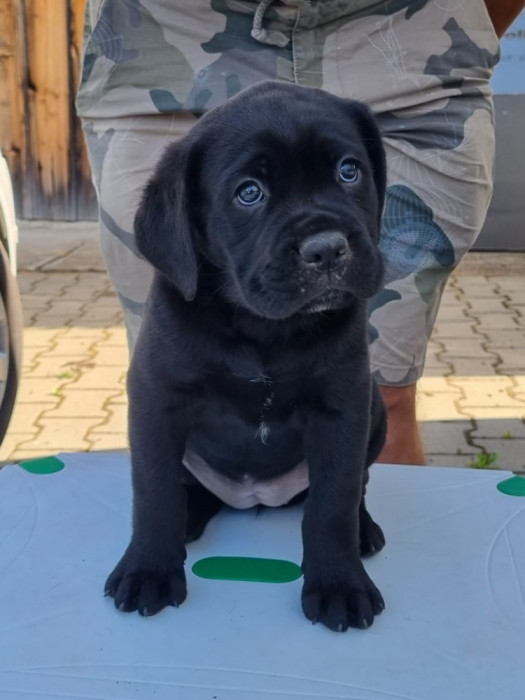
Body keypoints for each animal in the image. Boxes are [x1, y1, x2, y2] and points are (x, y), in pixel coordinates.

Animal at [104, 82, 386, 636]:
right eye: (249, 193)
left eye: (349, 171)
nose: (327, 249)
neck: (263, 331)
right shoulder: (156, 399)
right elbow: (153, 491)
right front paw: (149, 569)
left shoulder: (344, 405)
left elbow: (334, 502)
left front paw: (339, 584)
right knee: (186, 488)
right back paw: (188, 520)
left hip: (377, 408)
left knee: (356, 486)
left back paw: (364, 532)